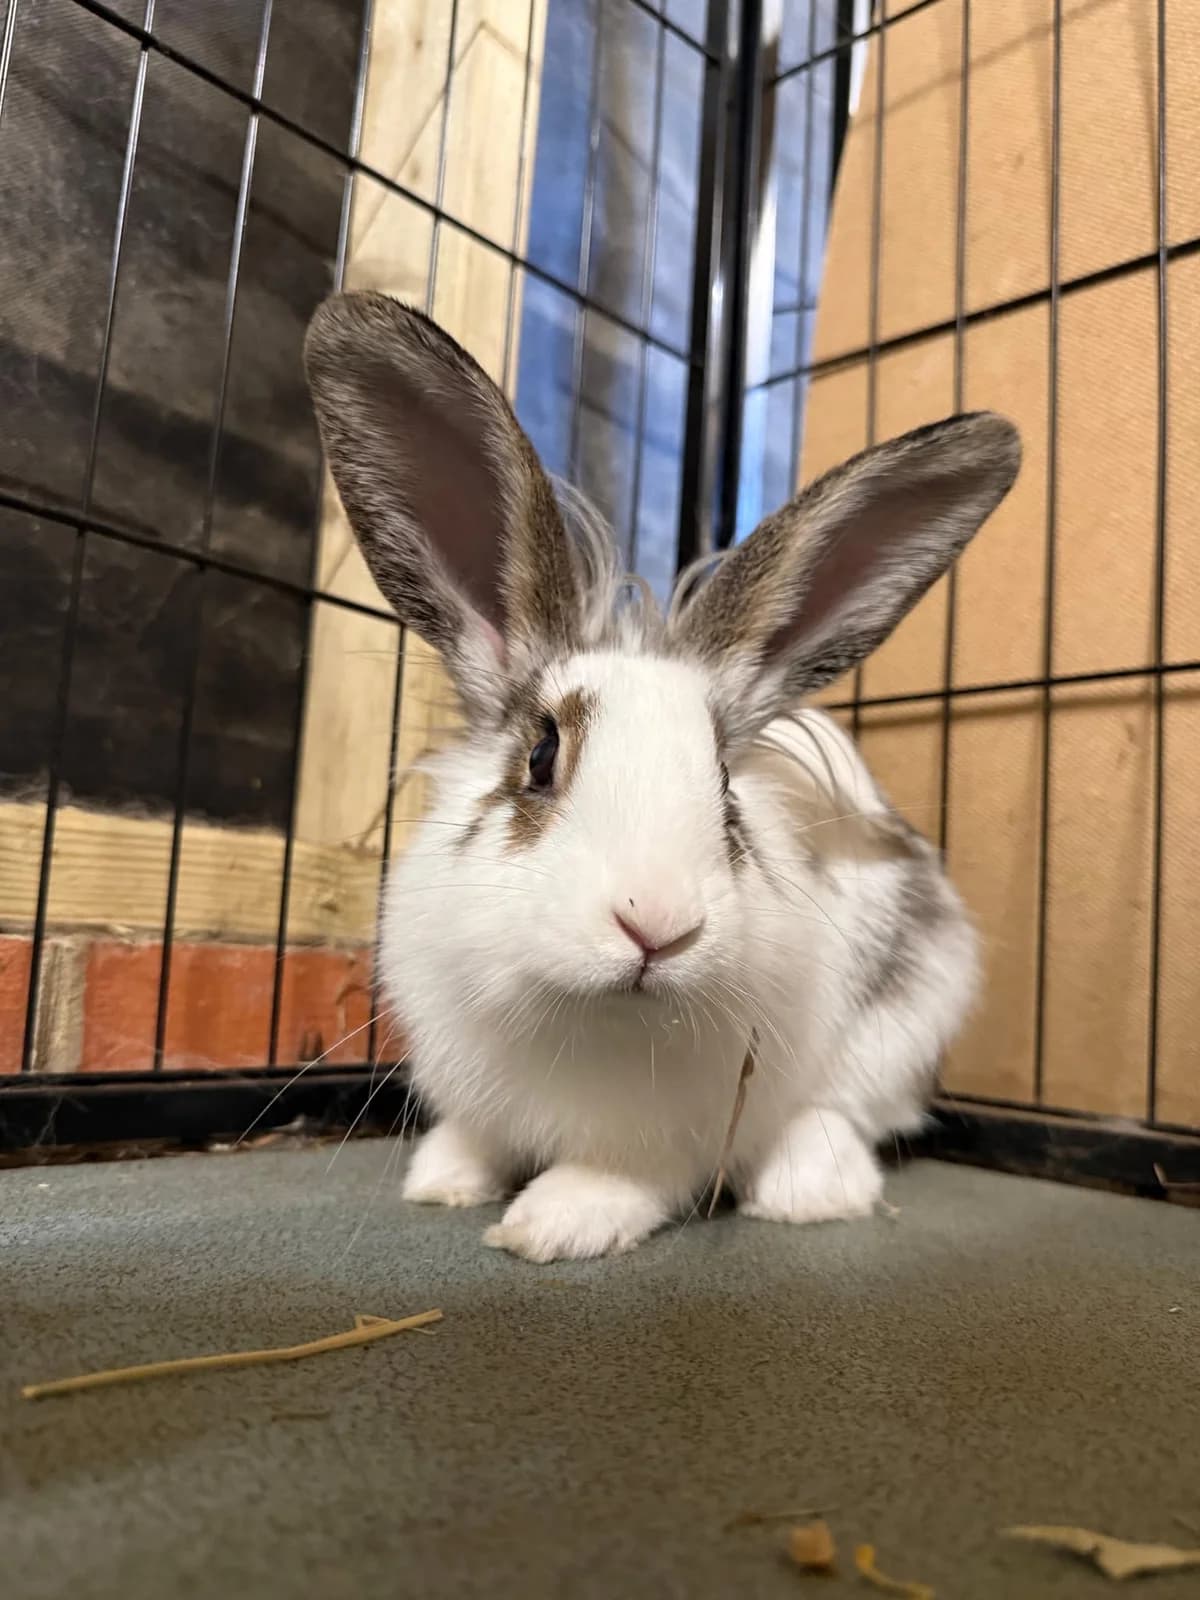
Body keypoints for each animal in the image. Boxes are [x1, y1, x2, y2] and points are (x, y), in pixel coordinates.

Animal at [304, 292, 1020, 1264]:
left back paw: (805, 1190)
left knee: (846, 1113)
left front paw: (552, 1225)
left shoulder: (673, 1140)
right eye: (541, 756)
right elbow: (474, 1140)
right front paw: (444, 1180)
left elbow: (627, 1180)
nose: (657, 926)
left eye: (724, 785)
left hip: (907, 1014)